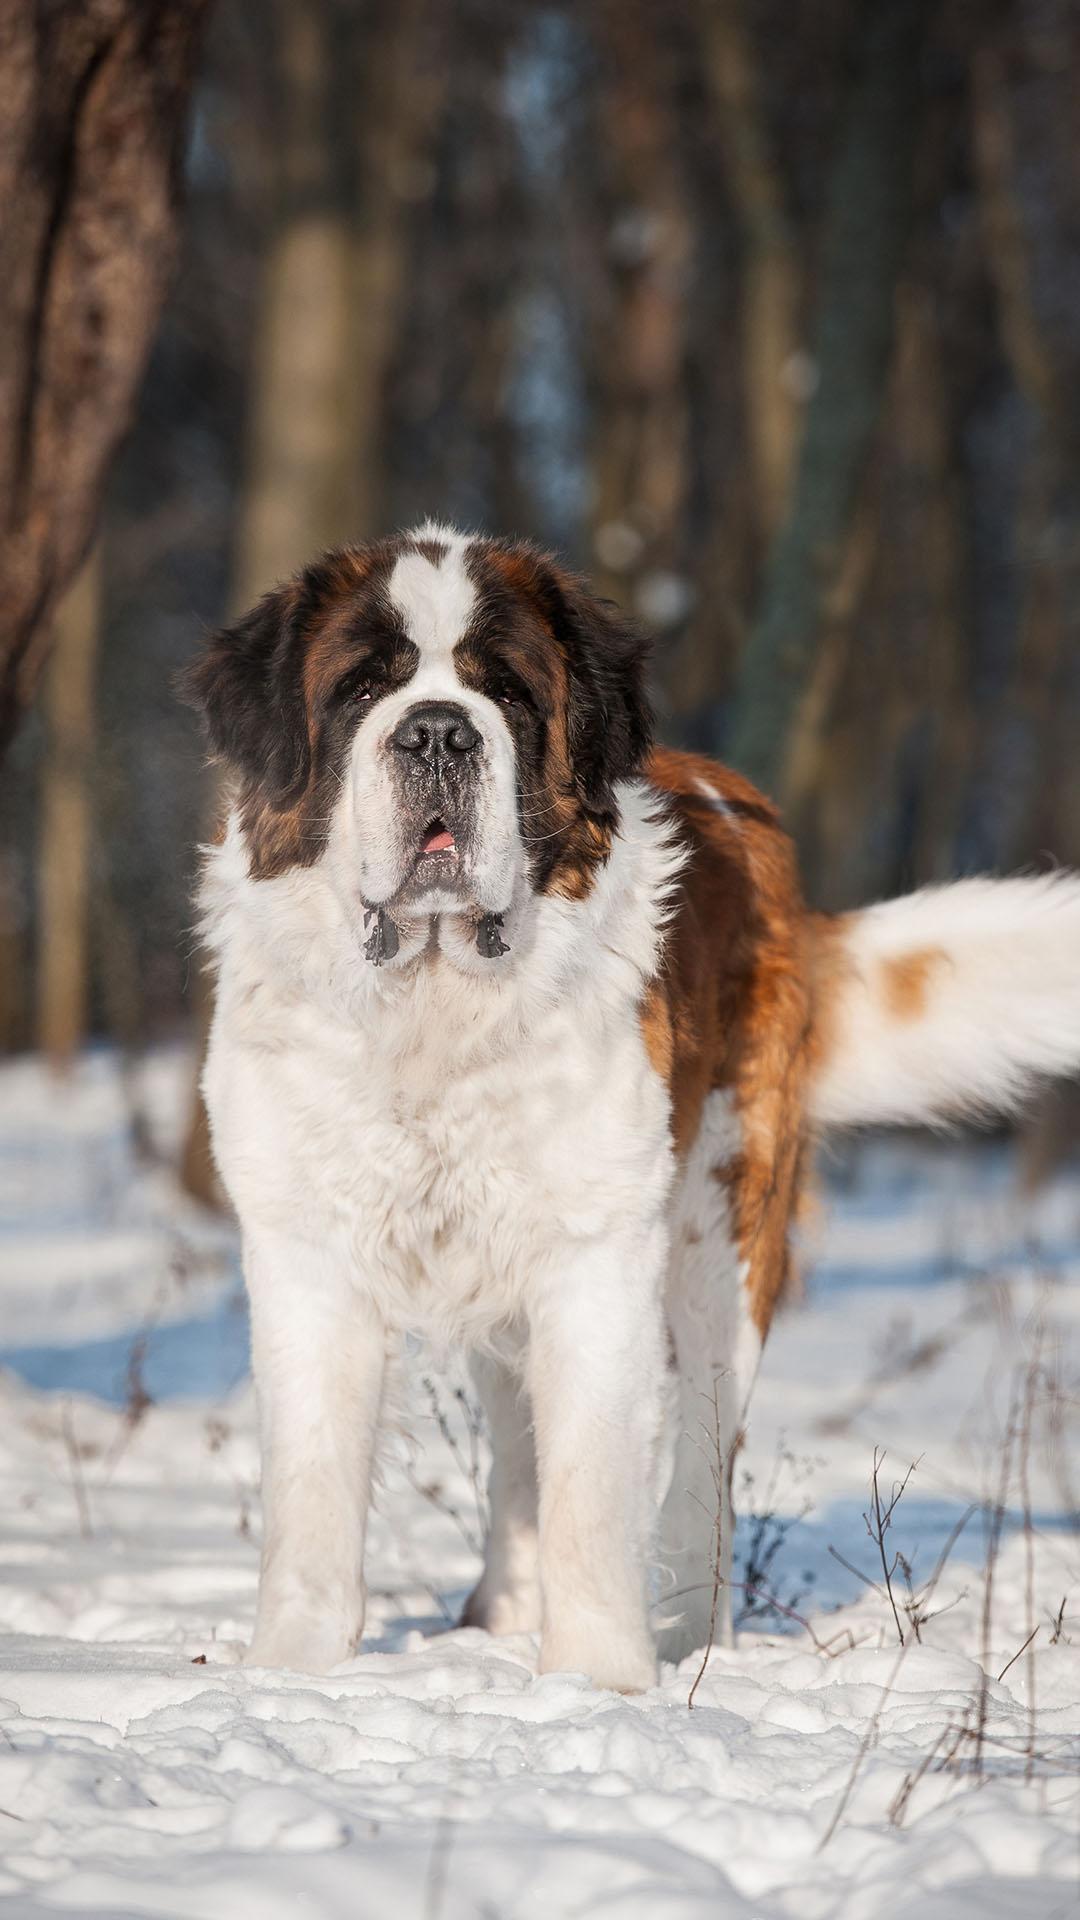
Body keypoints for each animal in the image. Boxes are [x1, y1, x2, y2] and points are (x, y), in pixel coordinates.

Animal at [189, 518, 1076, 1689]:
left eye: (508, 693)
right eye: (362, 687)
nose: (437, 734)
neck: (433, 1012)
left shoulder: (598, 1251)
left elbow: (591, 1484)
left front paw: (598, 1684)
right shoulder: (307, 1250)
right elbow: (314, 1488)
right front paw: (290, 1676)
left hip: (722, 1230)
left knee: (701, 1450)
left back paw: (690, 1645)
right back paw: (501, 1618)